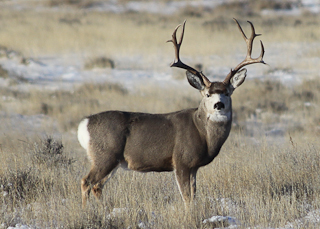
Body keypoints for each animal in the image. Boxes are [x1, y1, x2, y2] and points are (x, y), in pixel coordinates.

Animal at [77, 18, 264, 208]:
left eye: (227, 93)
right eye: (207, 94)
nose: (219, 105)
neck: (202, 133)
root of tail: (84, 124)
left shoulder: (194, 167)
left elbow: (193, 195)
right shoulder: (181, 160)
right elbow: (187, 197)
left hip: (112, 160)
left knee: (97, 186)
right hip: (105, 154)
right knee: (86, 181)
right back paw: (86, 210)